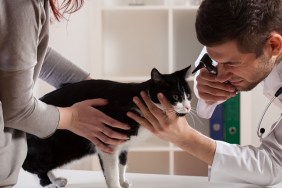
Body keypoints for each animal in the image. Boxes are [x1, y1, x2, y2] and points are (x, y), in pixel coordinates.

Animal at [23, 65, 193, 187]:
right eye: (176, 96)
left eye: (189, 95)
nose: (188, 107)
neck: (138, 102)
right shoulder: (106, 143)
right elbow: (111, 173)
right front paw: (116, 184)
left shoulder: (123, 145)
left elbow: (122, 163)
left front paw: (123, 181)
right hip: (58, 149)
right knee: (29, 165)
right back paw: (49, 183)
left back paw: (55, 180)